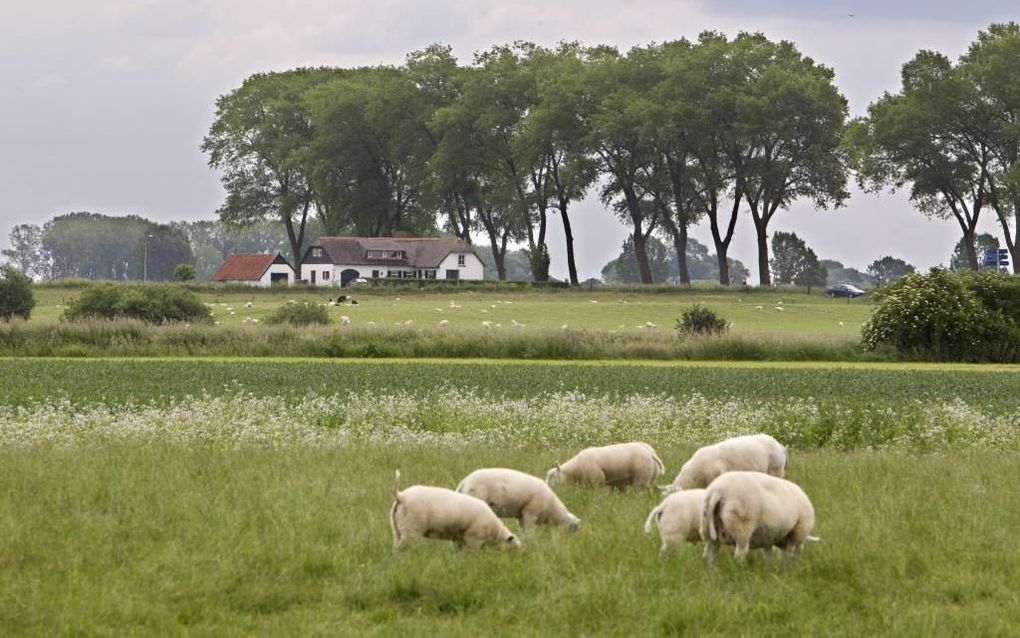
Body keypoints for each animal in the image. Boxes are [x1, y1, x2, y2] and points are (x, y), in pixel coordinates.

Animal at [387, 469, 522, 551]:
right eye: (514, 550)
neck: (494, 530)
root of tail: (401, 495)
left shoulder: (459, 539)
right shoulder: (474, 539)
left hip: (397, 528)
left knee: (395, 548)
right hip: (411, 529)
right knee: (401, 550)